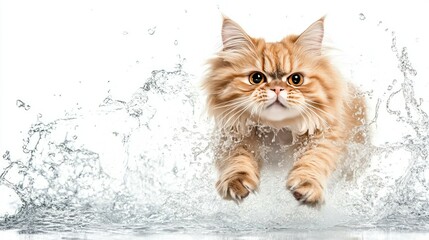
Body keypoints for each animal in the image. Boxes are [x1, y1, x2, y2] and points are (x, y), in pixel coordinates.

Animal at [201, 15, 364, 205]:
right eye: (256, 78)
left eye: (296, 79)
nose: (277, 89)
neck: (277, 132)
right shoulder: (232, 135)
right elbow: (238, 159)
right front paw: (236, 182)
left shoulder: (327, 135)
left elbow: (314, 159)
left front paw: (306, 187)